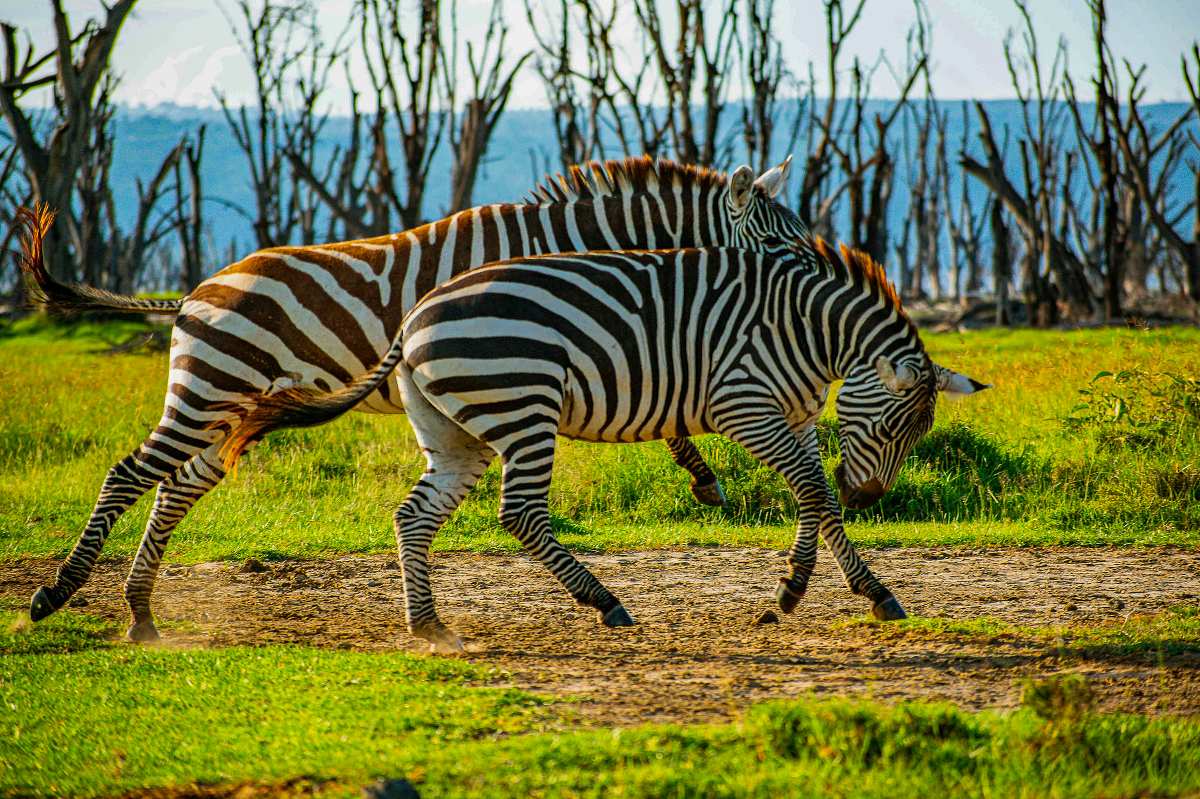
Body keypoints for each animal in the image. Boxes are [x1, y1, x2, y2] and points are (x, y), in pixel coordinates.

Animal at [20, 155, 809, 642]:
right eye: (783, 247)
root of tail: (193, 292)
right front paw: (703, 475)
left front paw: (702, 475)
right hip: (210, 390)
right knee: (129, 474)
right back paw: (58, 593)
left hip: (231, 407)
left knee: (175, 486)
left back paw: (141, 612)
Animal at [211, 237, 989, 652]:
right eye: (892, 428)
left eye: (914, 435)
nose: (874, 496)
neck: (807, 330)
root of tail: (415, 315)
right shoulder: (743, 406)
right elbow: (814, 492)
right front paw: (856, 591)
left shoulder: (791, 415)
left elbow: (814, 495)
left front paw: (798, 592)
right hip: (522, 405)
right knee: (521, 513)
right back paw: (605, 601)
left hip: (454, 430)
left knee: (415, 515)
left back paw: (429, 623)